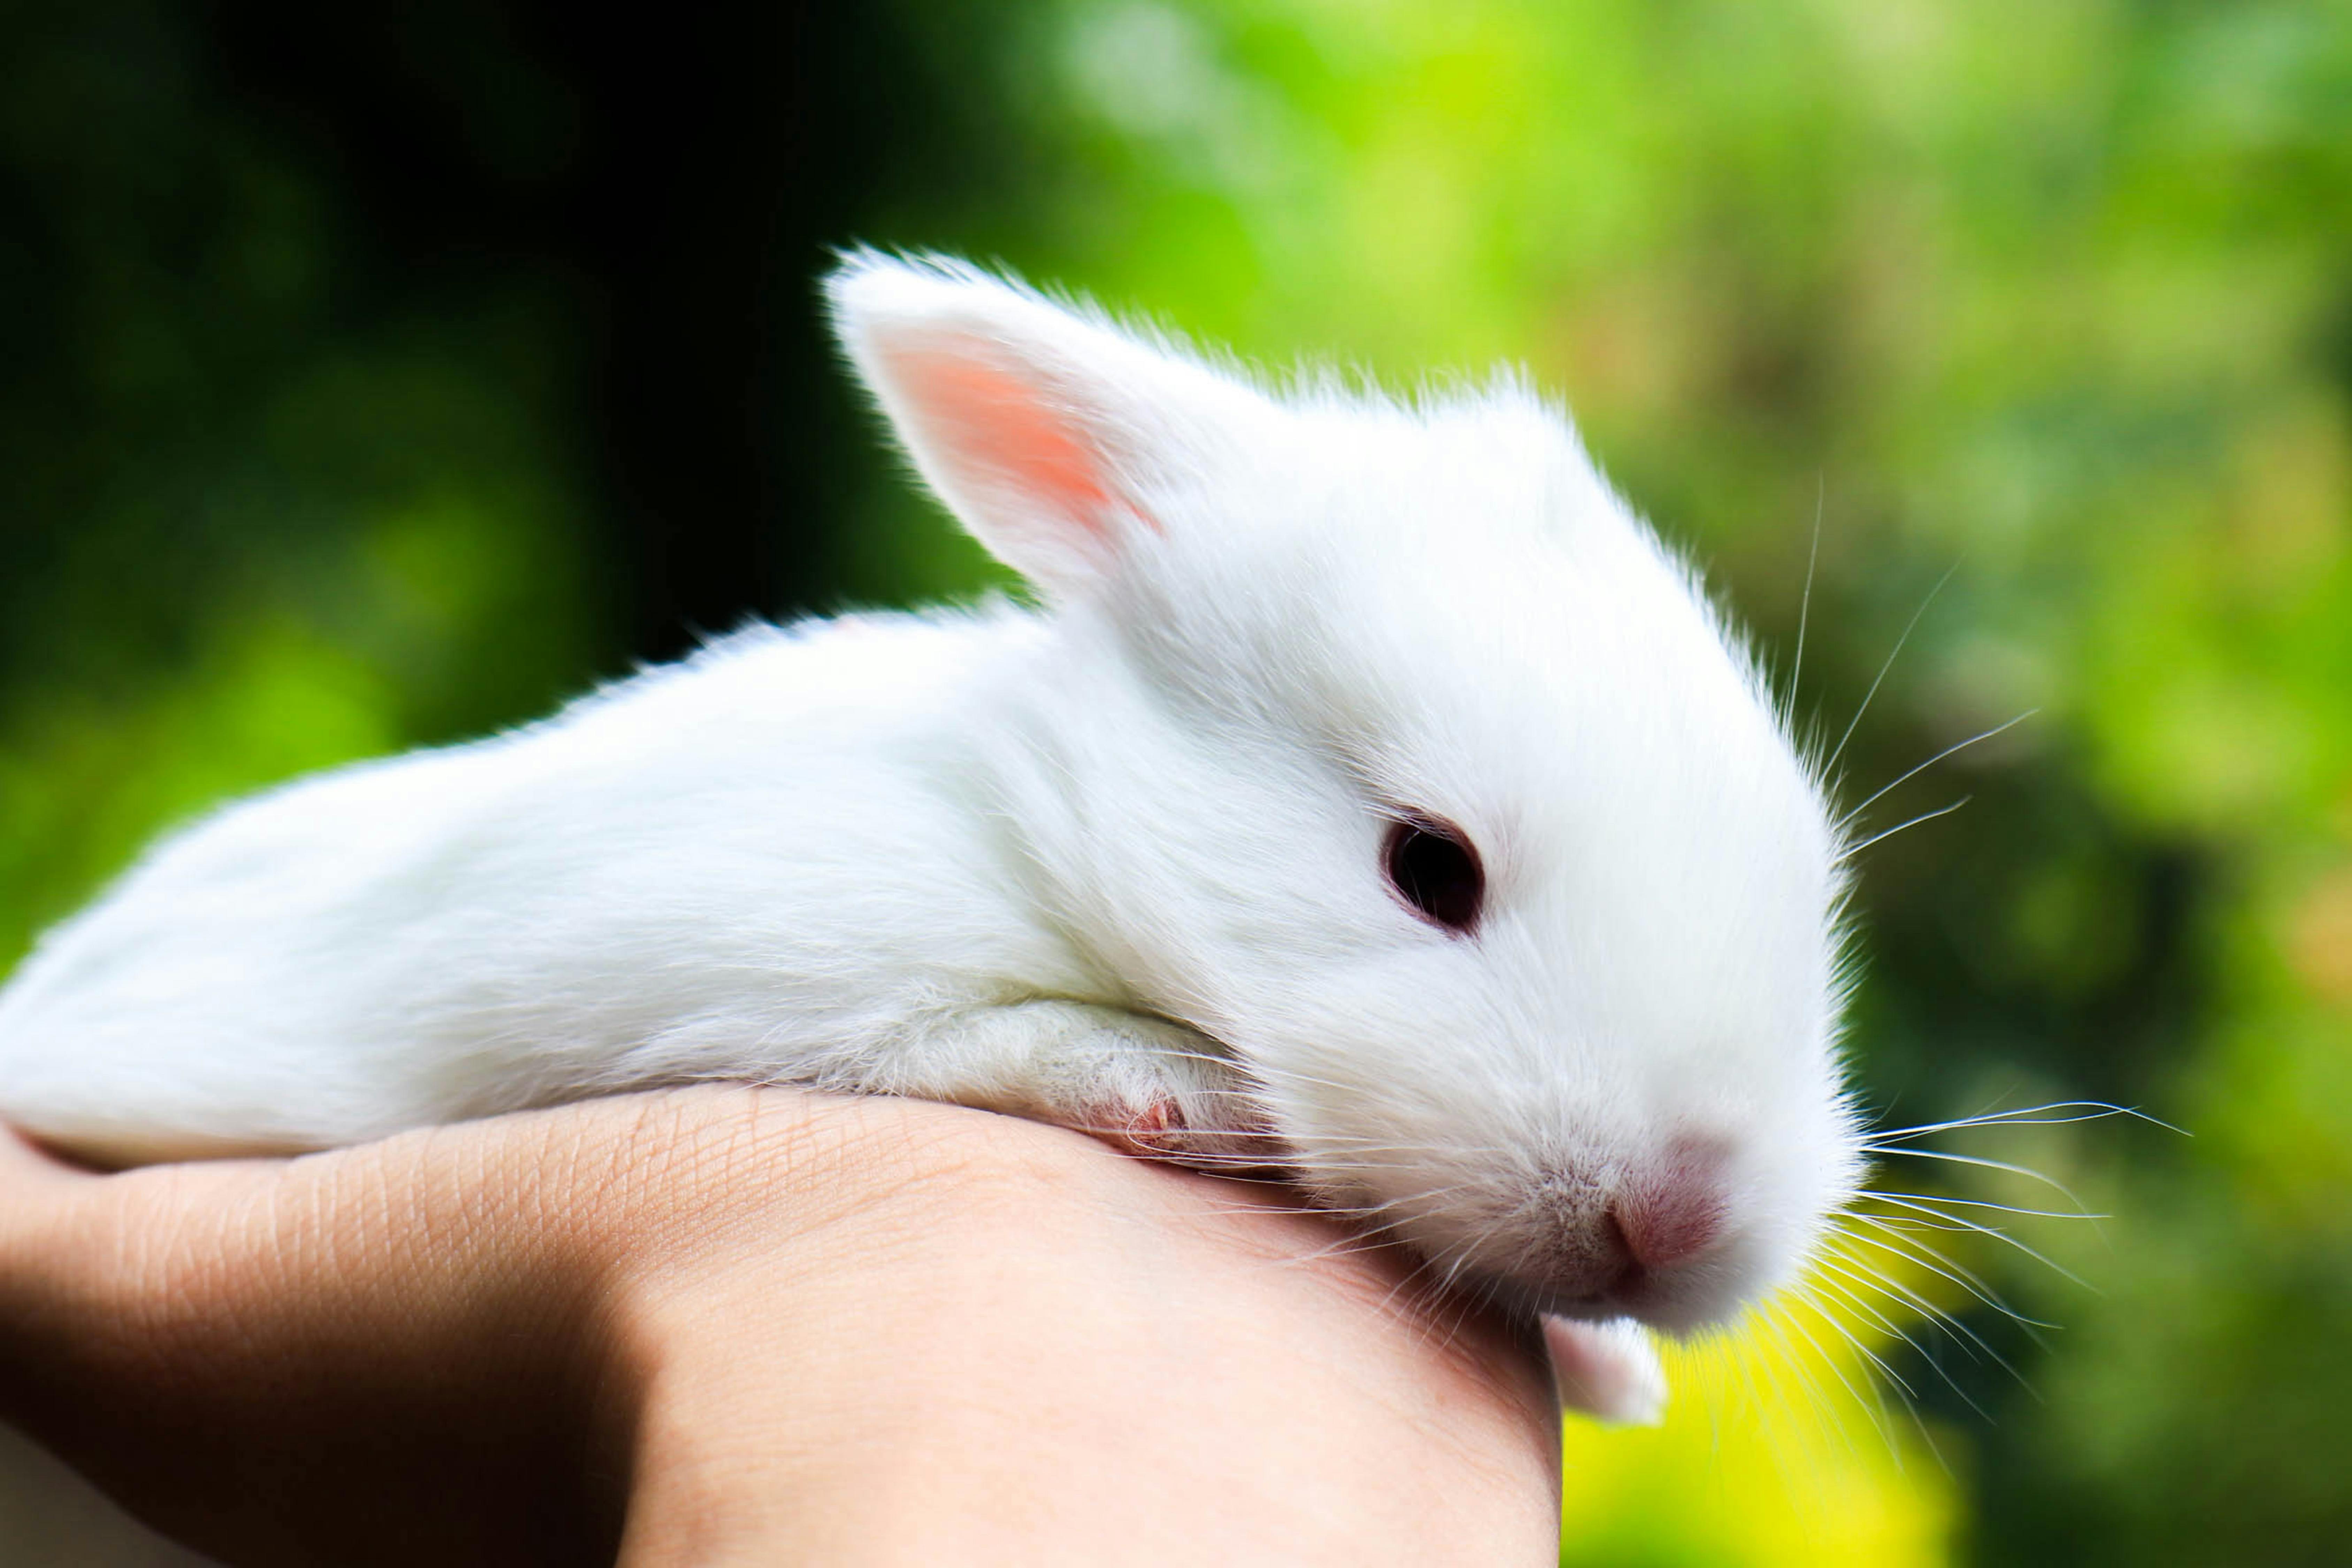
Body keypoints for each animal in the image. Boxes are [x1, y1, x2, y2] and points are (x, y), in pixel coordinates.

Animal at [0, 252, 1862, 1424]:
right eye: (1428, 866)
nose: (1685, 1213)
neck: (1037, 833)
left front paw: (1610, 1366)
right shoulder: (673, 963)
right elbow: (954, 1032)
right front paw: (1169, 1088)